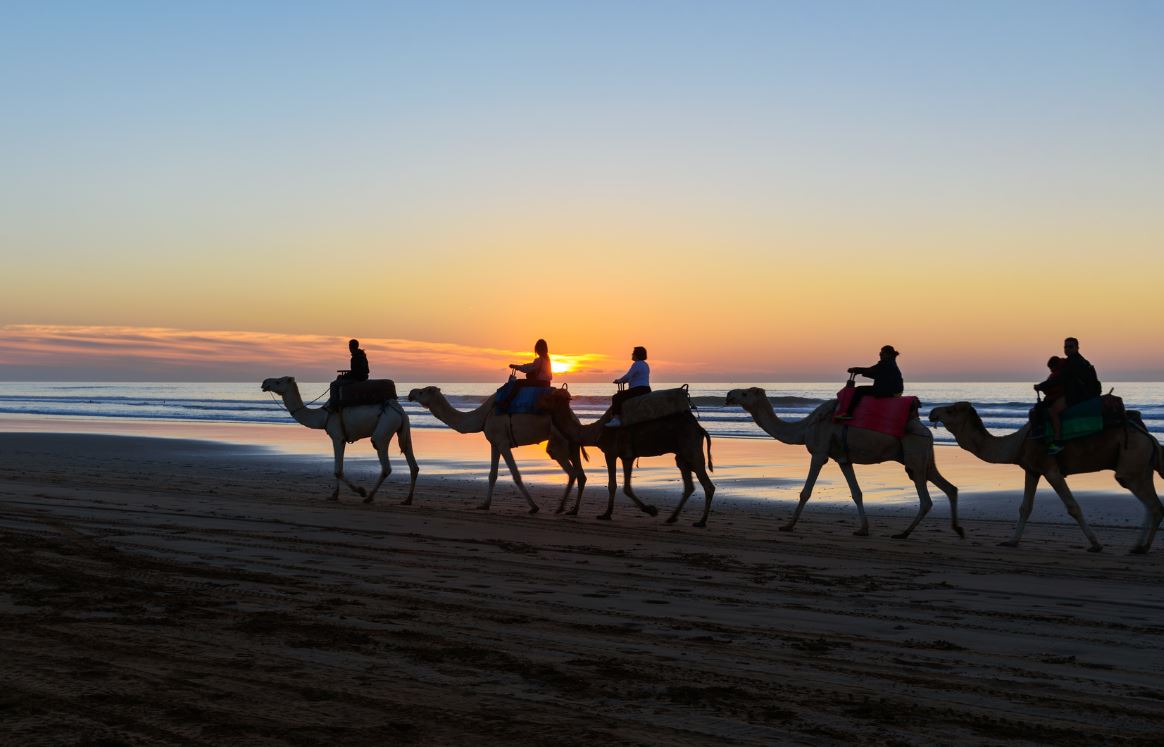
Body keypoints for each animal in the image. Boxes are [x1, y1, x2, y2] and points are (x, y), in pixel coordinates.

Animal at [260, 374, 419, 502]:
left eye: (278, 381)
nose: (264, 382)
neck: (322, 417)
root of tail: (399, 411)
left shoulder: (337, 436)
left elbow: (337, 470)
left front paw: (361, 491)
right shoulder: (341, 439)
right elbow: (337, 469)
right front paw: (334, 495)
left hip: (384, 427)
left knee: (385, 463)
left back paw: (369, 497)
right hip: (403, 429)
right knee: (412, 462)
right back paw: (407, 500)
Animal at [407, 383, 586, 511]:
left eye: (422, 392)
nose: (410, 393)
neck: (483, 416)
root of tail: (574, 419)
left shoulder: (503, 443)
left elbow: (516, 475)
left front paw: (534, 507)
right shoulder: (494, 443)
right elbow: (492, 475)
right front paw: (485, 504)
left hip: (558, 442)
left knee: (571, 471)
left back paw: (561, 508)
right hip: (571, 444)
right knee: (580, 474)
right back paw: (572, 509)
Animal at [726, 386, 963, 537]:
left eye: (745, 392)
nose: (728, 395)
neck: (804, 428)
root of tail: (927, 431)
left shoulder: (819, 453)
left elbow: (805, 492)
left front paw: (787, 525)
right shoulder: (843, 459)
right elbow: (856, 493)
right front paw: (863, 529)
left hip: (914, 456)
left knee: (926, 499)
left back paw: (903, 533)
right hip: (925, 459)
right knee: (950, 487)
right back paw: (957, 529)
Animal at [926, 400, 1164, 553]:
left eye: (951, 410)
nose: (932, 412)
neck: (1018, 443)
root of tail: (1149, 438)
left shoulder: (1051, 470)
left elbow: (1073, 506)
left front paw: (1096, 544)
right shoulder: (1032, 470)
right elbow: (1025, 507)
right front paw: (1011, 542)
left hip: (1131, 464)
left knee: (1152, 505)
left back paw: (1142, 548)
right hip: (1141, 468)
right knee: (1152, 504)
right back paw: (1139, 546)